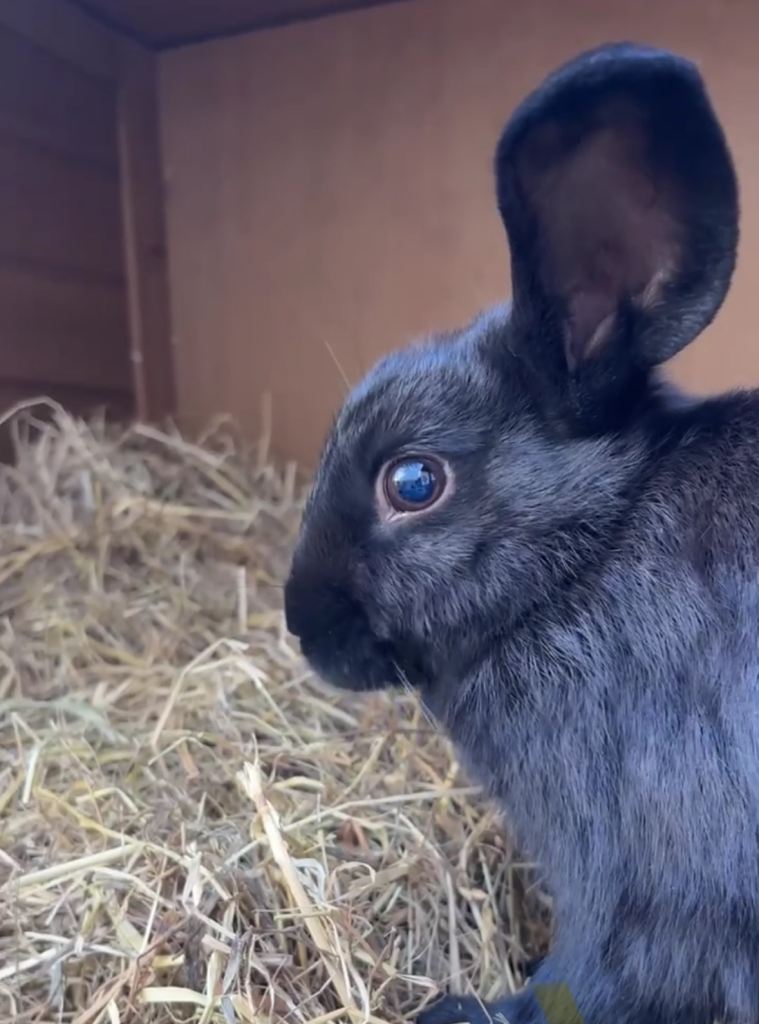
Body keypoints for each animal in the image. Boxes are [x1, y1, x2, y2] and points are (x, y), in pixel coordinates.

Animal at [283, 41, 759, 1024]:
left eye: (413, 481)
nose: (300, 623)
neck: (589, 557)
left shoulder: (641, 874)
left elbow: (591, 975)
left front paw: (463, 1010)